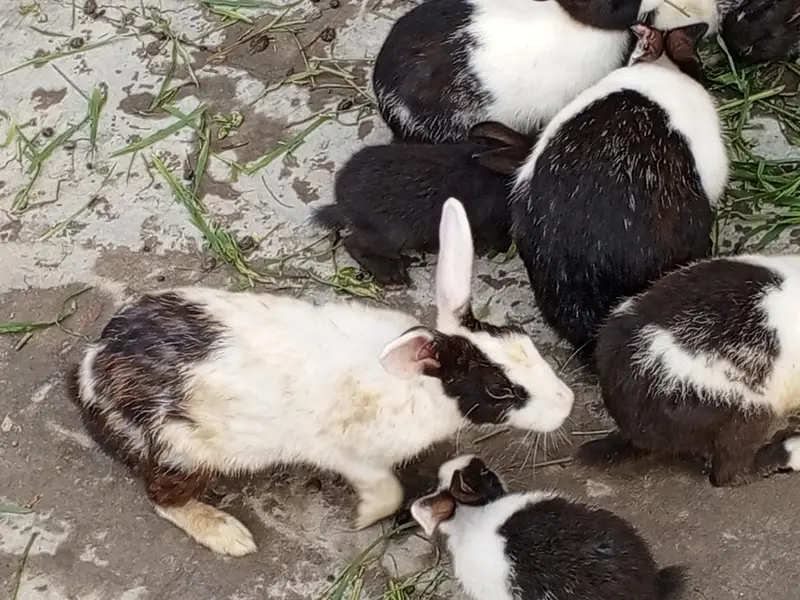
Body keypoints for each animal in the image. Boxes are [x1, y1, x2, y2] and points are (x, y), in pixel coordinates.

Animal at [67, 198, 574, 557]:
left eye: (521, 337)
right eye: (499, 389)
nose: (567, 403)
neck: (419, 386)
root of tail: (94, 366)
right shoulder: (352, 458)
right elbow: (385, 491)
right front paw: (363, 520)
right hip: (182, 451)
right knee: (162, 498)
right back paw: (229, 535)